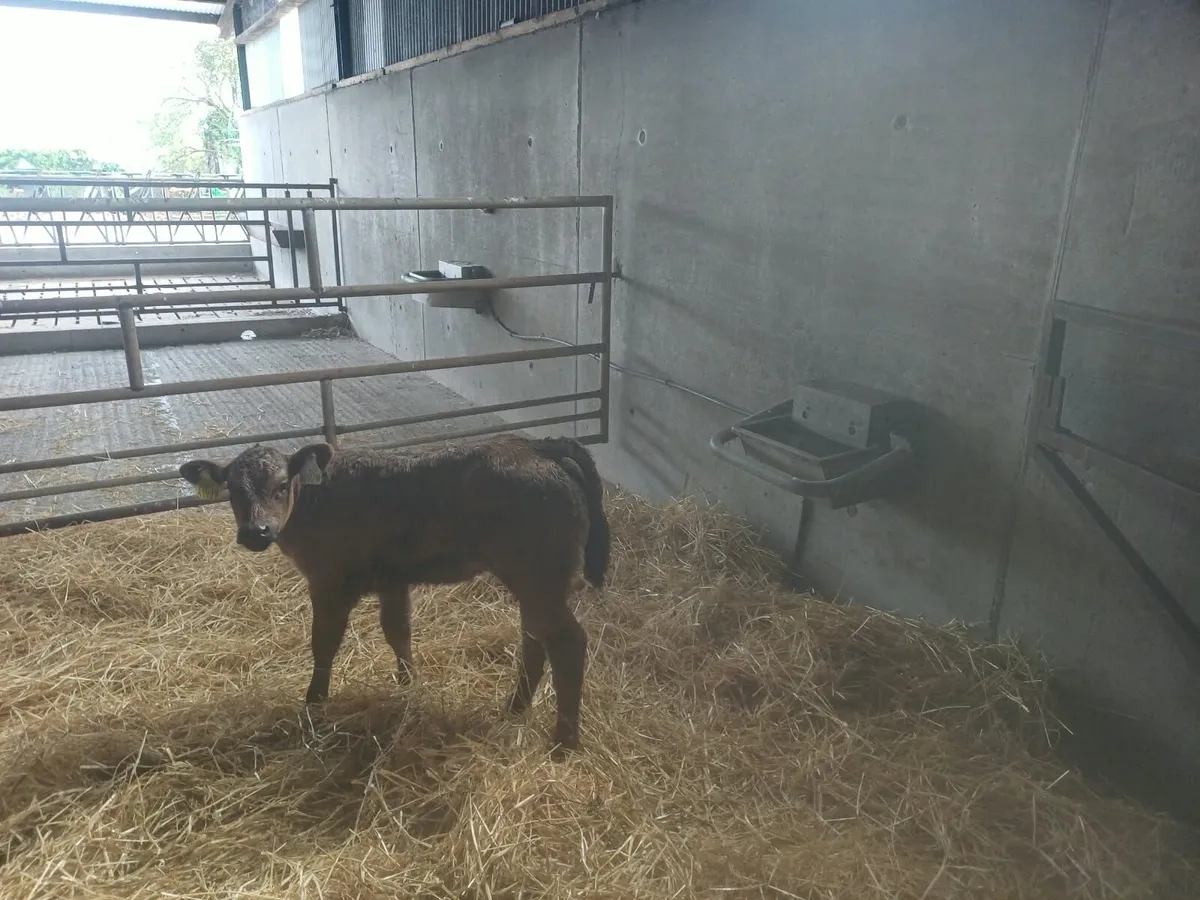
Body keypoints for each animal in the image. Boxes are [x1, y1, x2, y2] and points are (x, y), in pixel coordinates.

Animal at [178, 433, 610, 758]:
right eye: (233, 491)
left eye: (282, 486)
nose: (256, 532)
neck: (316, 500)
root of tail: (537, 445)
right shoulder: (392, 580)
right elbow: (398, 631)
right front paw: (408, 686)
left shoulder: (329, 581)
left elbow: (324, 644)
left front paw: (314, 703)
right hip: (534, 582)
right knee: (535, 638)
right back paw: (515, 708)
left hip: (540, 577)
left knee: (568, 643)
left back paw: (564, 743)